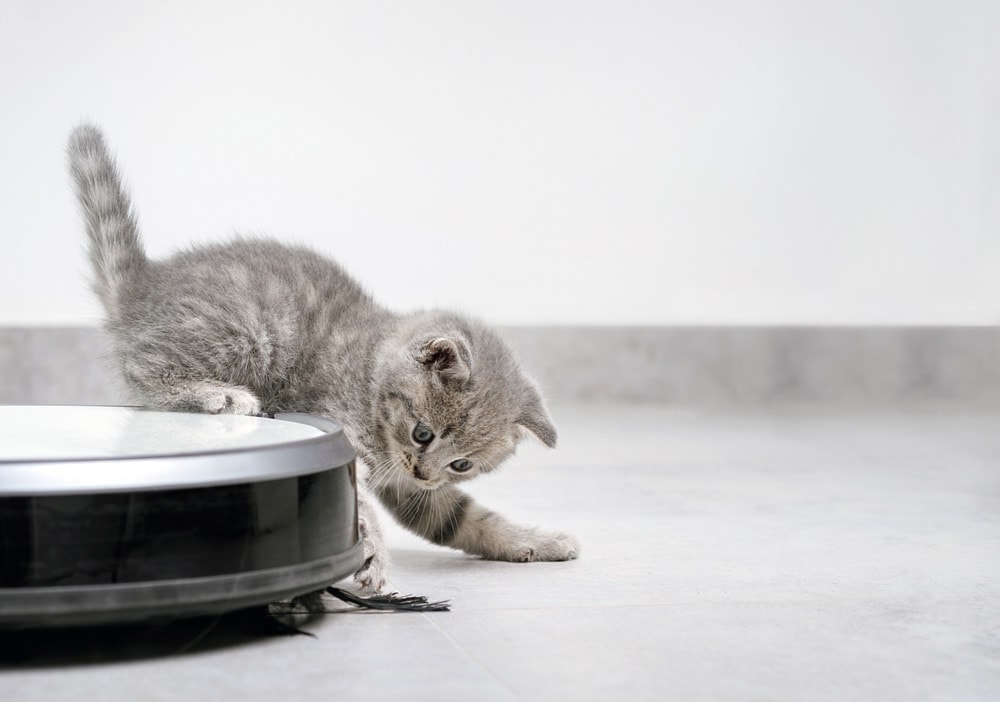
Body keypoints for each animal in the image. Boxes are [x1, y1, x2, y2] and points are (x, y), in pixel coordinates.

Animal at [68, 124, 580, 592]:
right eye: (422, 433)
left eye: (462, 465)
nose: (424, 472)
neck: (371, 368)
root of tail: (143, 286)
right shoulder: (345, 433)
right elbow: (357, 509)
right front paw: (373, 555)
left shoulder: (408, 486)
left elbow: (462, 518)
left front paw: (537, 541)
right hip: (250, 330)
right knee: (143, 367)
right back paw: (220, 395)